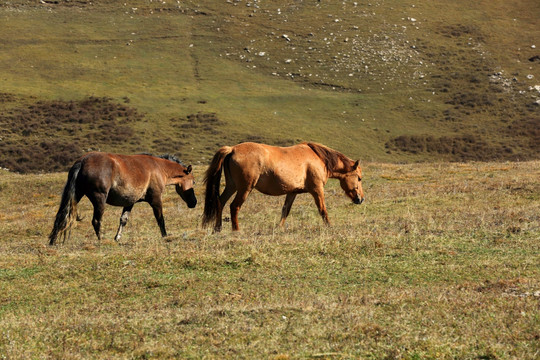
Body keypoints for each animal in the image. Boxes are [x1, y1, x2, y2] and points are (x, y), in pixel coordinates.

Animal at [48, 152, 196, 245]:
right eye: (193, 182)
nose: (194, 202)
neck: (159, 168)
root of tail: (82, 161)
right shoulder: (155, 199)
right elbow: (160, 219)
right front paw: (165, 236)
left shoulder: (130, 202)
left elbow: (123, 220)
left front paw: (117, 237)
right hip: (99, 199)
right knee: (96, 221)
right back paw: (101, 240)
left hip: (77, 195)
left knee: (62, 216)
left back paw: (52, 241)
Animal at [204, 142, 368, 232]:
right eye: (359, 178)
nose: (360, 199)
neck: (318, 159)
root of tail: (232, 149)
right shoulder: (317, 190)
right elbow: (322, 210)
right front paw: (329, 226)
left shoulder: (292, 192)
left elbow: (285, 211)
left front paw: (279, 227)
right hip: (244, 189)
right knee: (234, 206)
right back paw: (236, 230)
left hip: (232, 186)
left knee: (220, 202)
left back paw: (217, 229)